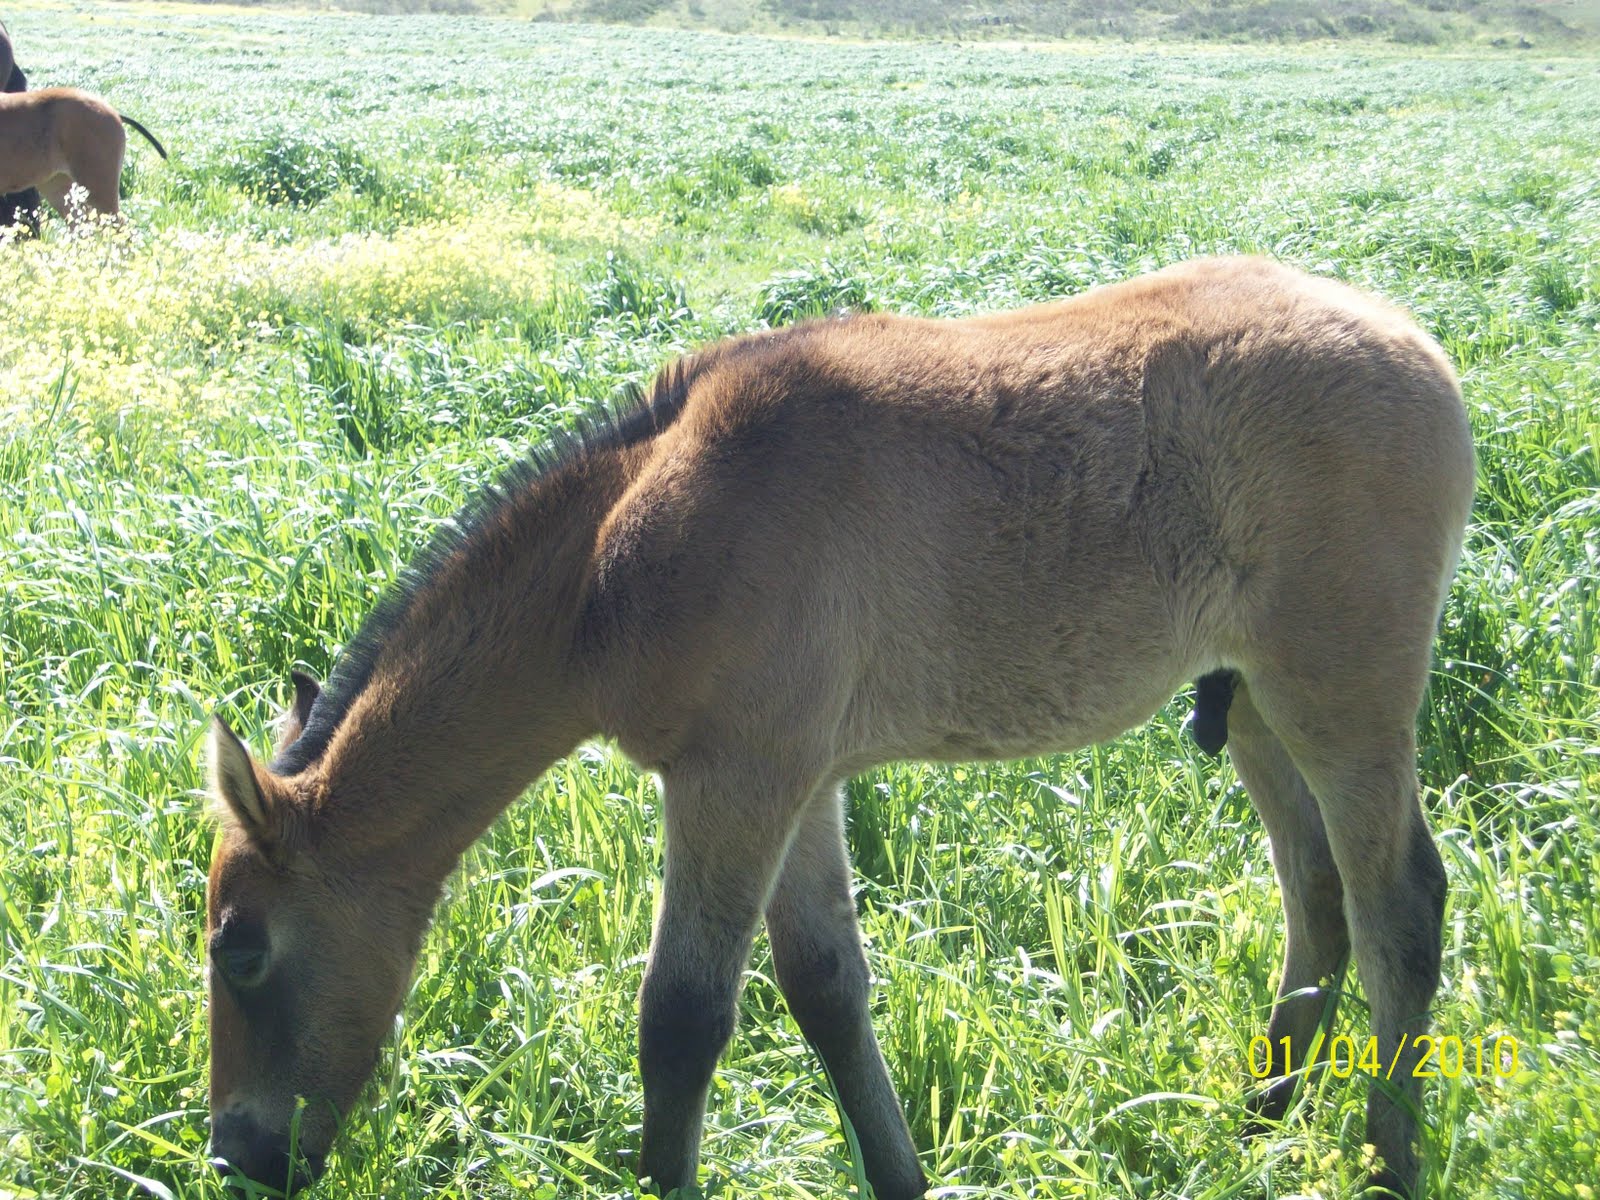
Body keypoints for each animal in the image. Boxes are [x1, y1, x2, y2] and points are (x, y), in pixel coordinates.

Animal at [203, 256, 1472, 1200]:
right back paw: (1262, 1116)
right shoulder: (803, 783)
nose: (239, 1156)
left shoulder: (735, 780)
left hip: (1343, 696)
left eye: (241, 950)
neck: (614, 561)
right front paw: (901, 1177)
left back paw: (1387, 1157)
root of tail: (1417, 343)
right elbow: (824, 989)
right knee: (1319, 895)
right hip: (1257, 703)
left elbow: (681, 1020)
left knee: (1398, 907)